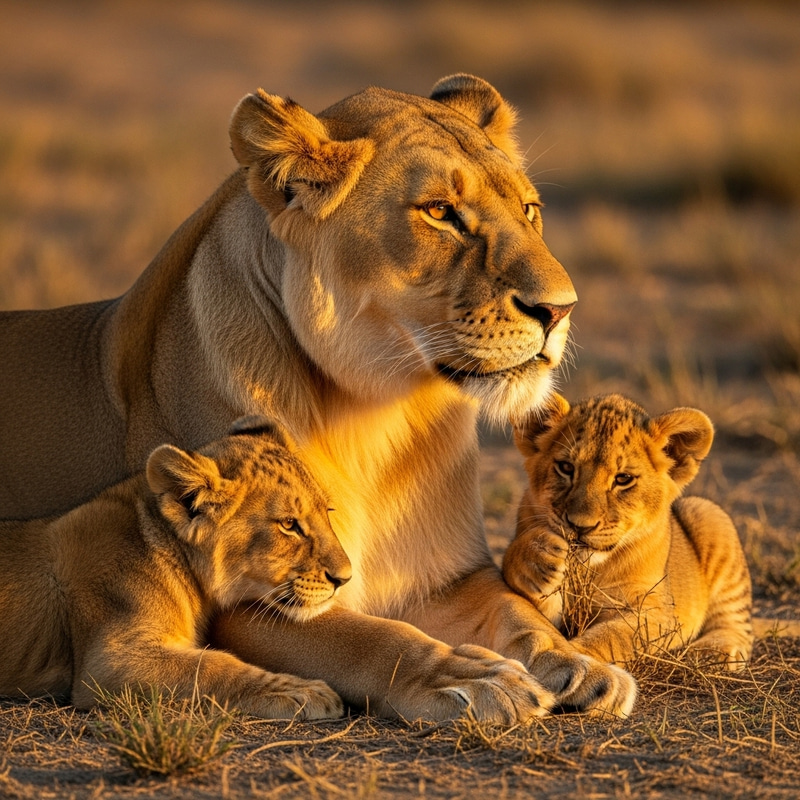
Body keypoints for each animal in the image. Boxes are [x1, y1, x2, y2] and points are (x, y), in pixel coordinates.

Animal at [0, 417, 351, 718]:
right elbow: (213, 666)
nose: (344, 578)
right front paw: (302, 691)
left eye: (328, 511)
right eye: (289, 525)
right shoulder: (107, 663)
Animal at [503, 393, 754, 670]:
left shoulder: (654, 612)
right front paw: (537, 558)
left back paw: (714, 651)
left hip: (707, 512)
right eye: (566, 467)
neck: (591, 567)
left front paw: (577, 659)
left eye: (623, 479)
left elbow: (612, 637)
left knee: (737, 623)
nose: (580, 526)